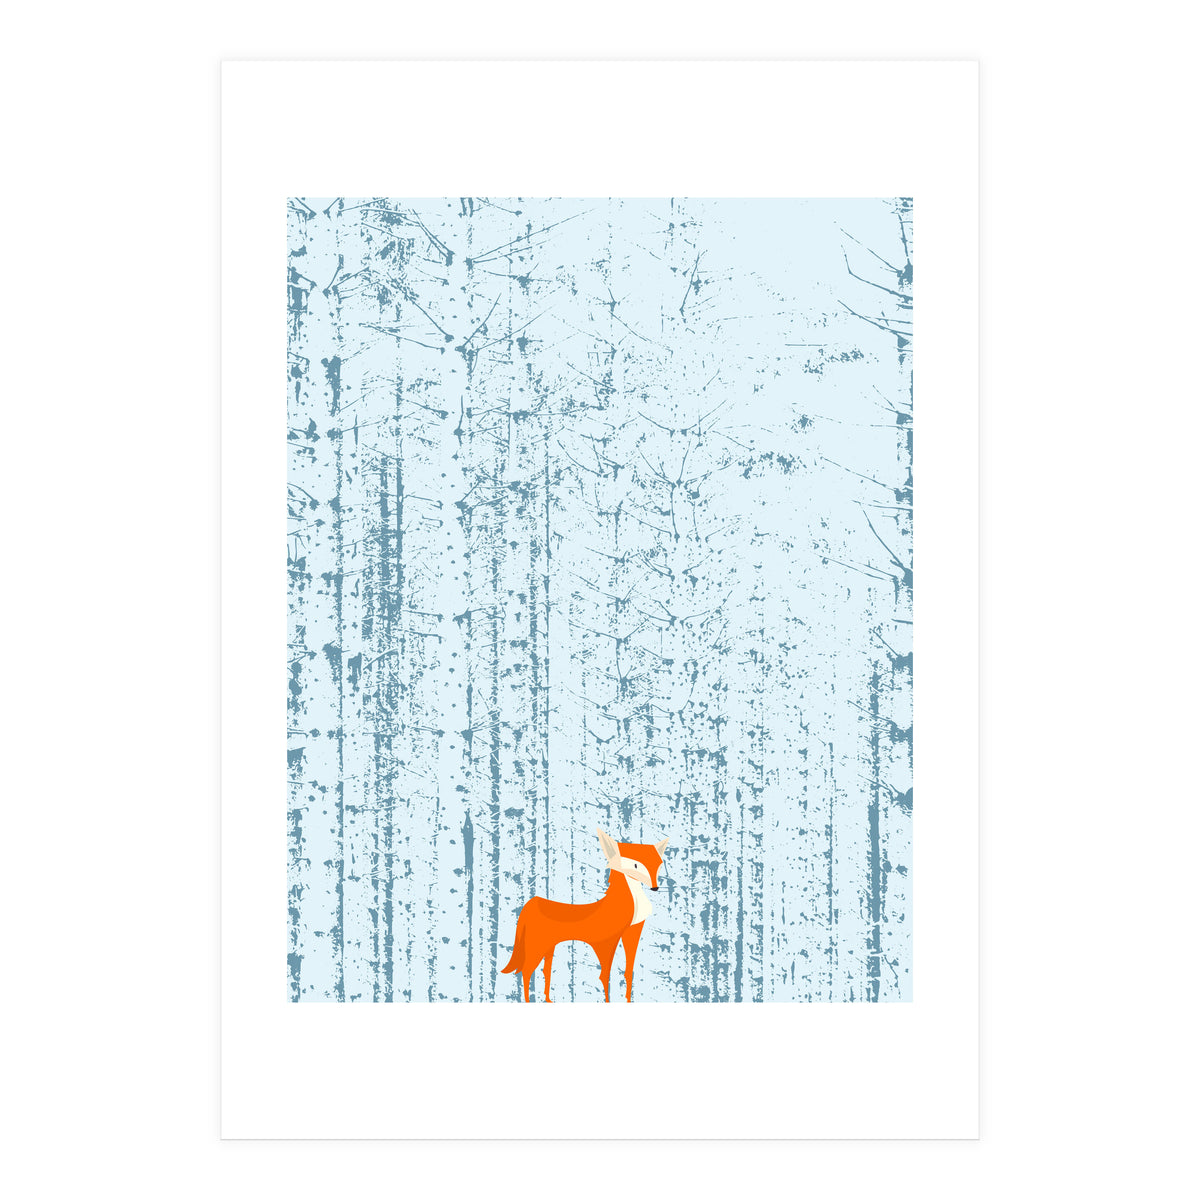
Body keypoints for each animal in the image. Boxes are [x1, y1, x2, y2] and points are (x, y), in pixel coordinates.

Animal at [500, 828, 669, 1002]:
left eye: (659, 864)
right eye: (636, 865)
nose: (655, 887)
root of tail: (531, 902)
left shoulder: (633, 931)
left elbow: (628, 973)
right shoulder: (605, 943)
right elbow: (604, 976)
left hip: (549, 946)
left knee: (545, 970)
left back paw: (548, 999)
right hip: (537, 945)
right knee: (526, 971)